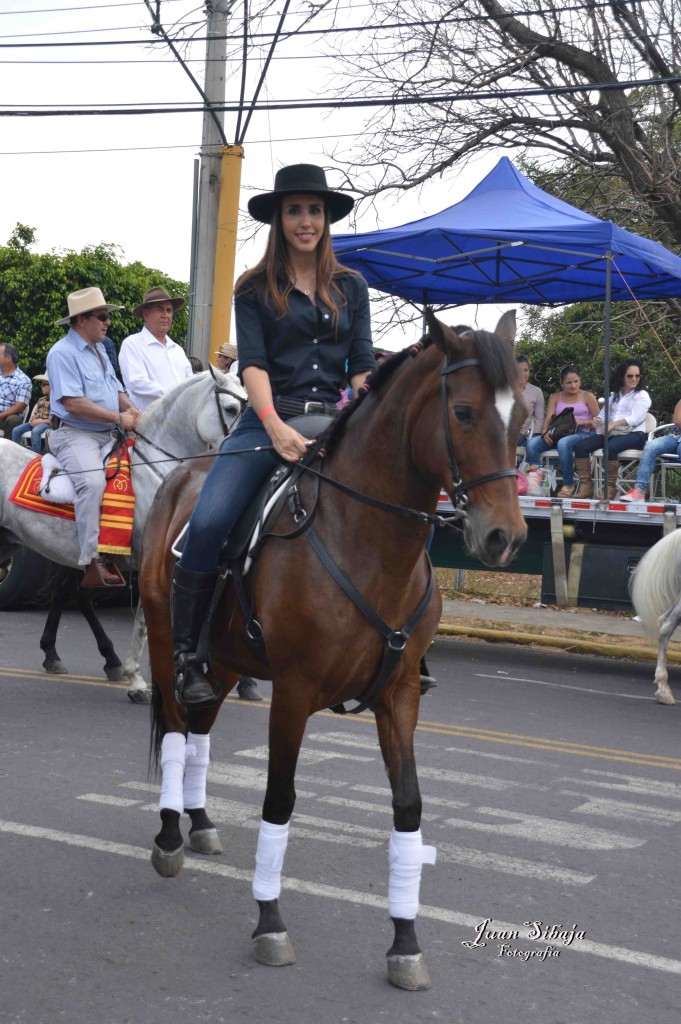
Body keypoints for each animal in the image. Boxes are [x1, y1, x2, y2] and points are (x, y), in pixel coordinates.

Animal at [140, 307, 528, 987]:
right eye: (464, 412)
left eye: (525, 416)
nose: (505, 536)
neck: (365, 539)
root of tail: (182, 476)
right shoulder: (294, 693)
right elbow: (279, 799)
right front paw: (270, 923)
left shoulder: (399, 695)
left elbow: (408, 807)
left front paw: (405, 941)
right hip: (169, 647)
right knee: (176, 731)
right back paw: (167, 836)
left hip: (224, 662)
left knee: (199, 731)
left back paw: (201, 823)